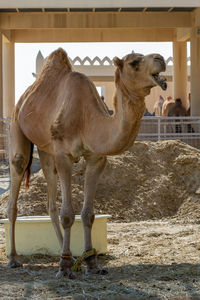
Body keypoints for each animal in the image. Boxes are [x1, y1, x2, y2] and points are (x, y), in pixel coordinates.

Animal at [7, 47, 167, 278]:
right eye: (133, 62)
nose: (160, 59)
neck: (86, 119)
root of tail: (24, 98)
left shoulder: (96, 158)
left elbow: (88, 214)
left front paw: (91, 262)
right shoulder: (64, 155)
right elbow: (68, 214)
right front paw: (65, 267)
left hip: (46, 151)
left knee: (50, 202)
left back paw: (71, 256)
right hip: (17, 127)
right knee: (17, 176)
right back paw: (13, 259)